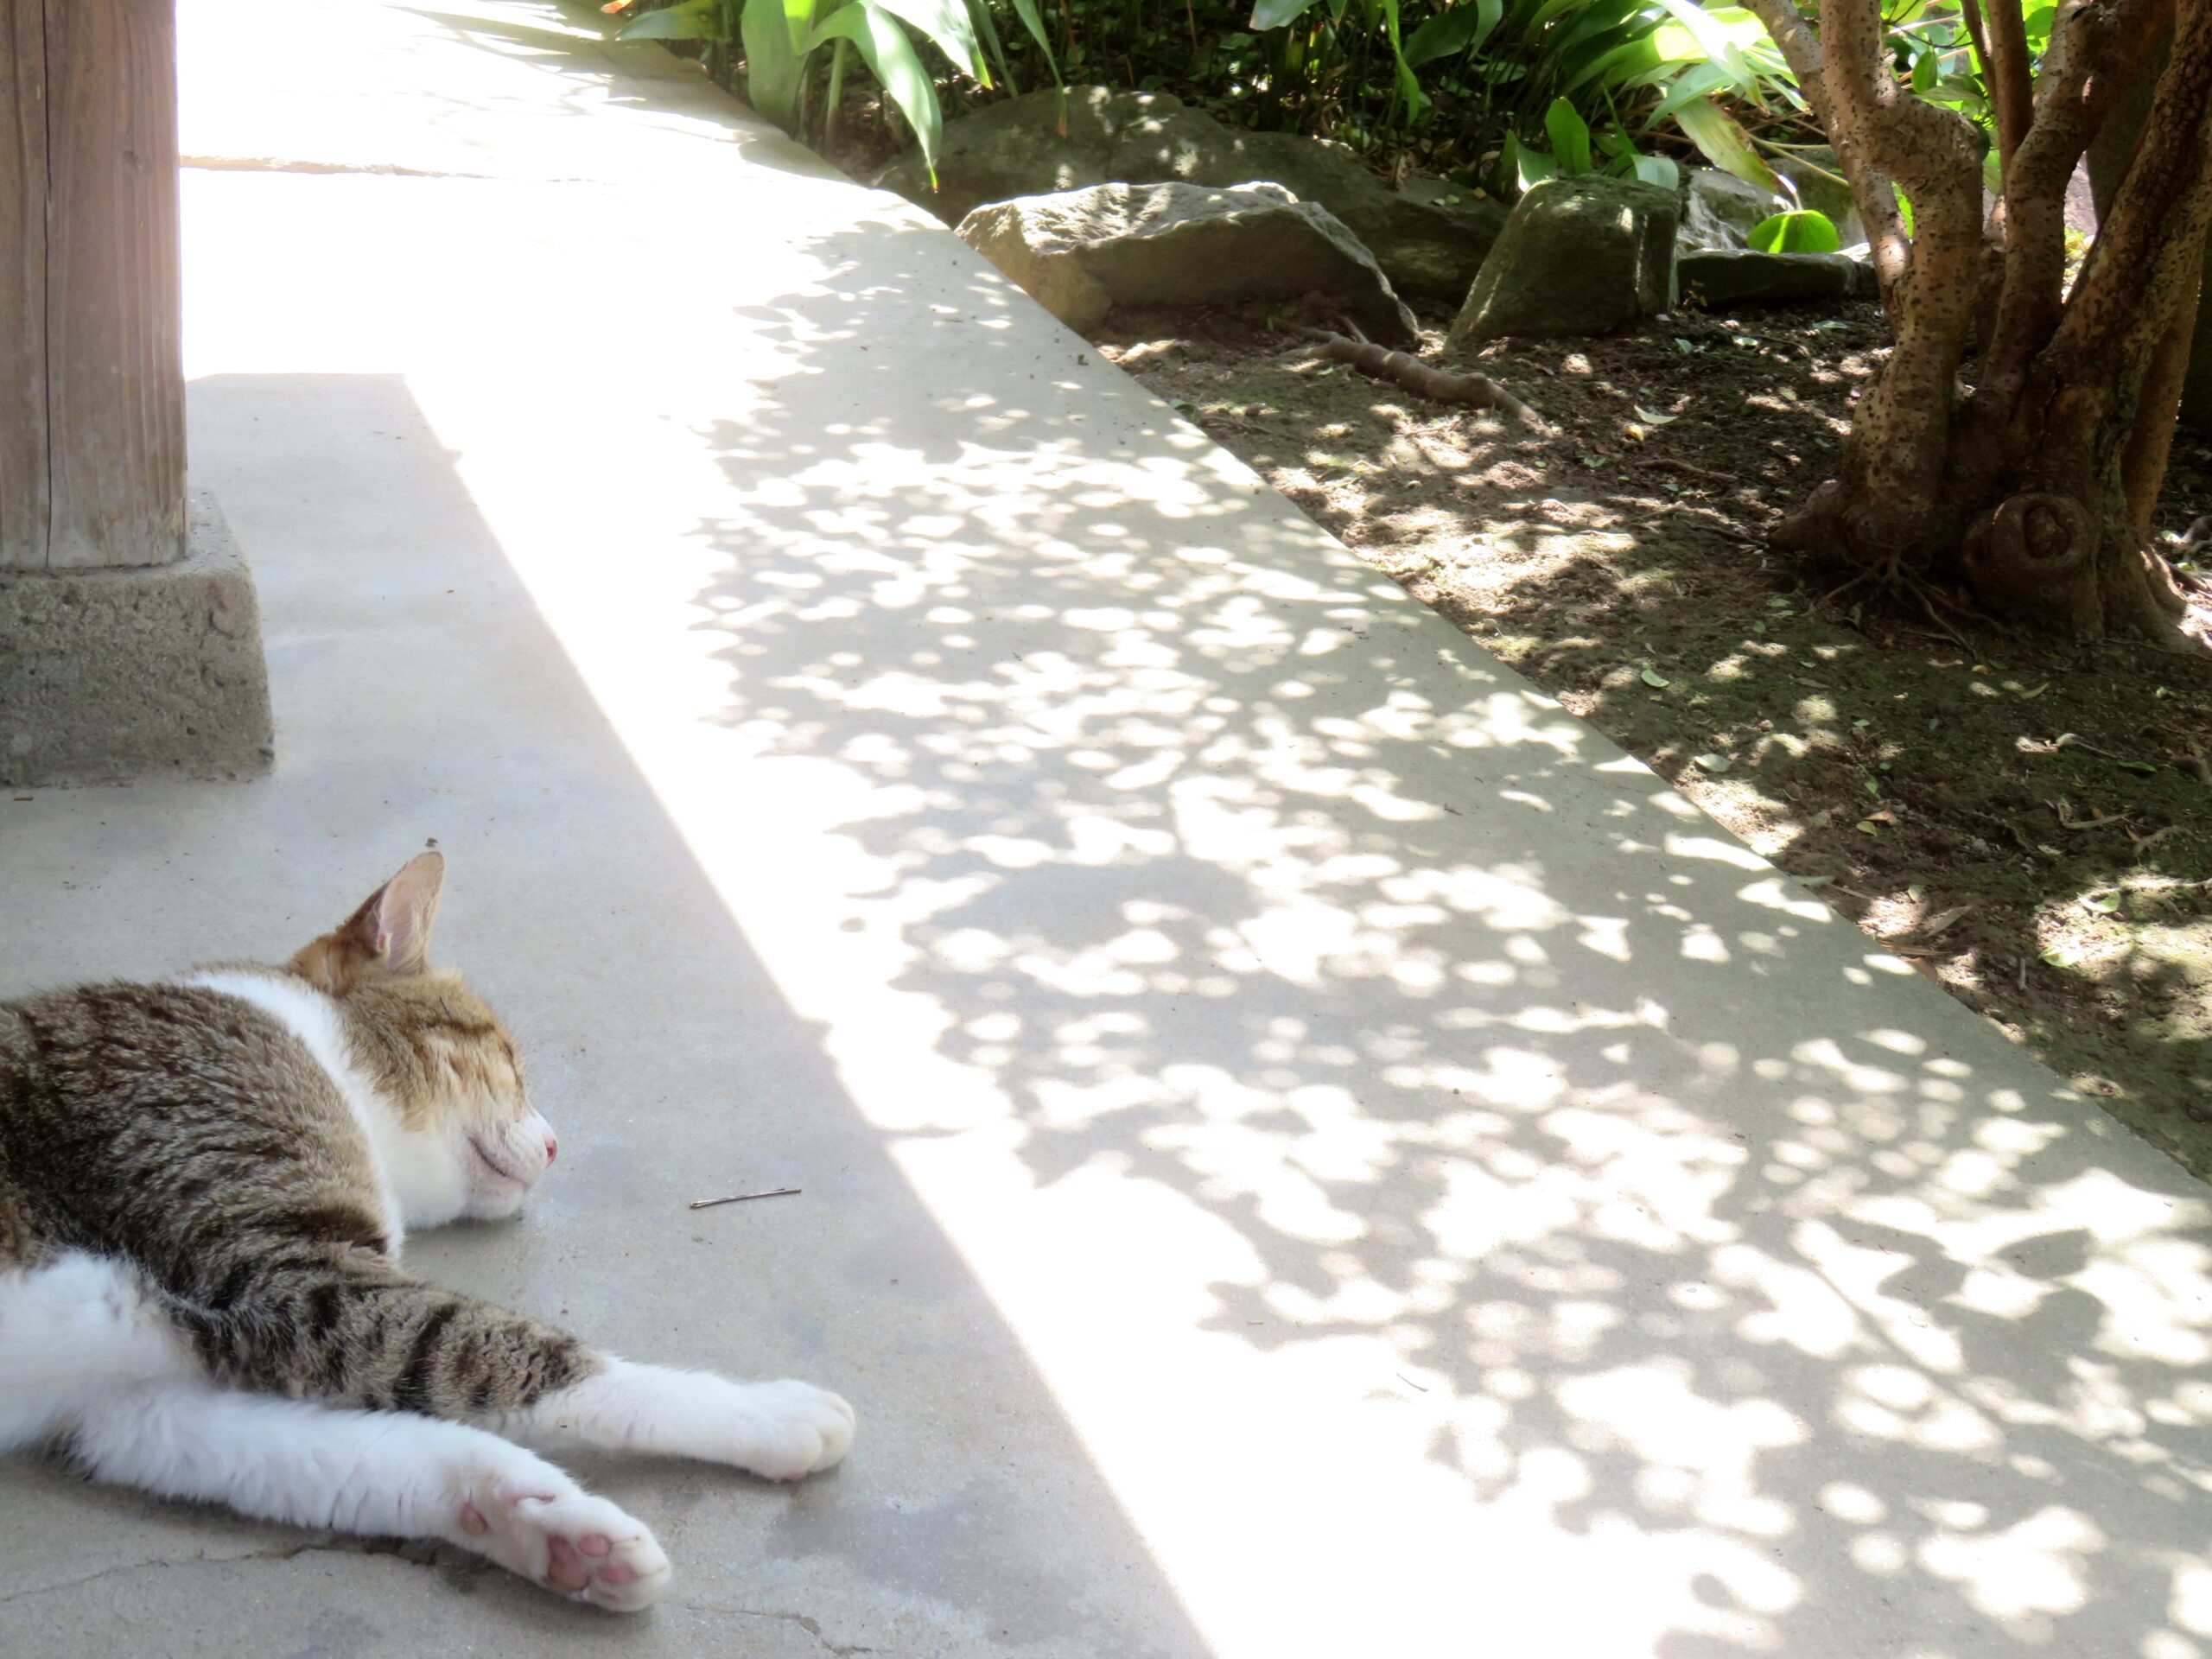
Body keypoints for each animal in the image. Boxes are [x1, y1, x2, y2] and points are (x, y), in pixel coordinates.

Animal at [0, 858, 844, 1610]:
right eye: (510, 1062)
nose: (555, 1145)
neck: (316, 1054)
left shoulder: (134, 1406)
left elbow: (370, 1455)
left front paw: (553, 1529)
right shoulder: (286, 1276)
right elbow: (513, 1351)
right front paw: (766, 1413)